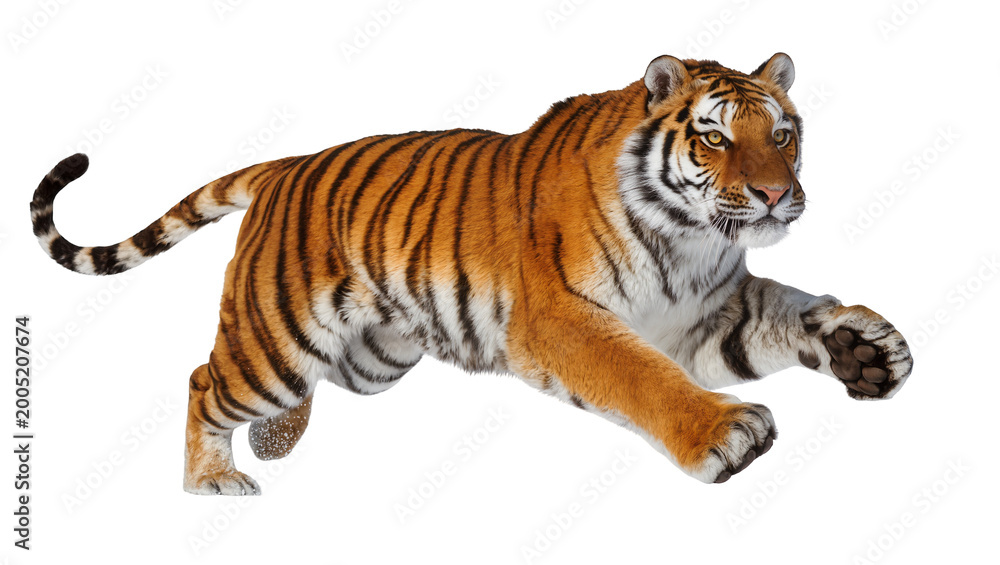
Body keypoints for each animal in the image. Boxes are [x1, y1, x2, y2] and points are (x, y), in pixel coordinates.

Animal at [30, 53, 913, 494]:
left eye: (784, 133)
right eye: (718, 138)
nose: (775, 194)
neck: (691, 238)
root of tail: (289, 163)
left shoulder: (707, 315)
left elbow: (790, 311)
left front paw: (864, 347)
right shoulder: (563, 318)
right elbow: (644, 378)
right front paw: (725, 431)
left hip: (376, 356)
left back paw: (277, 442)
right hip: (275, 341)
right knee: (202, 380)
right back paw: (213, 480)